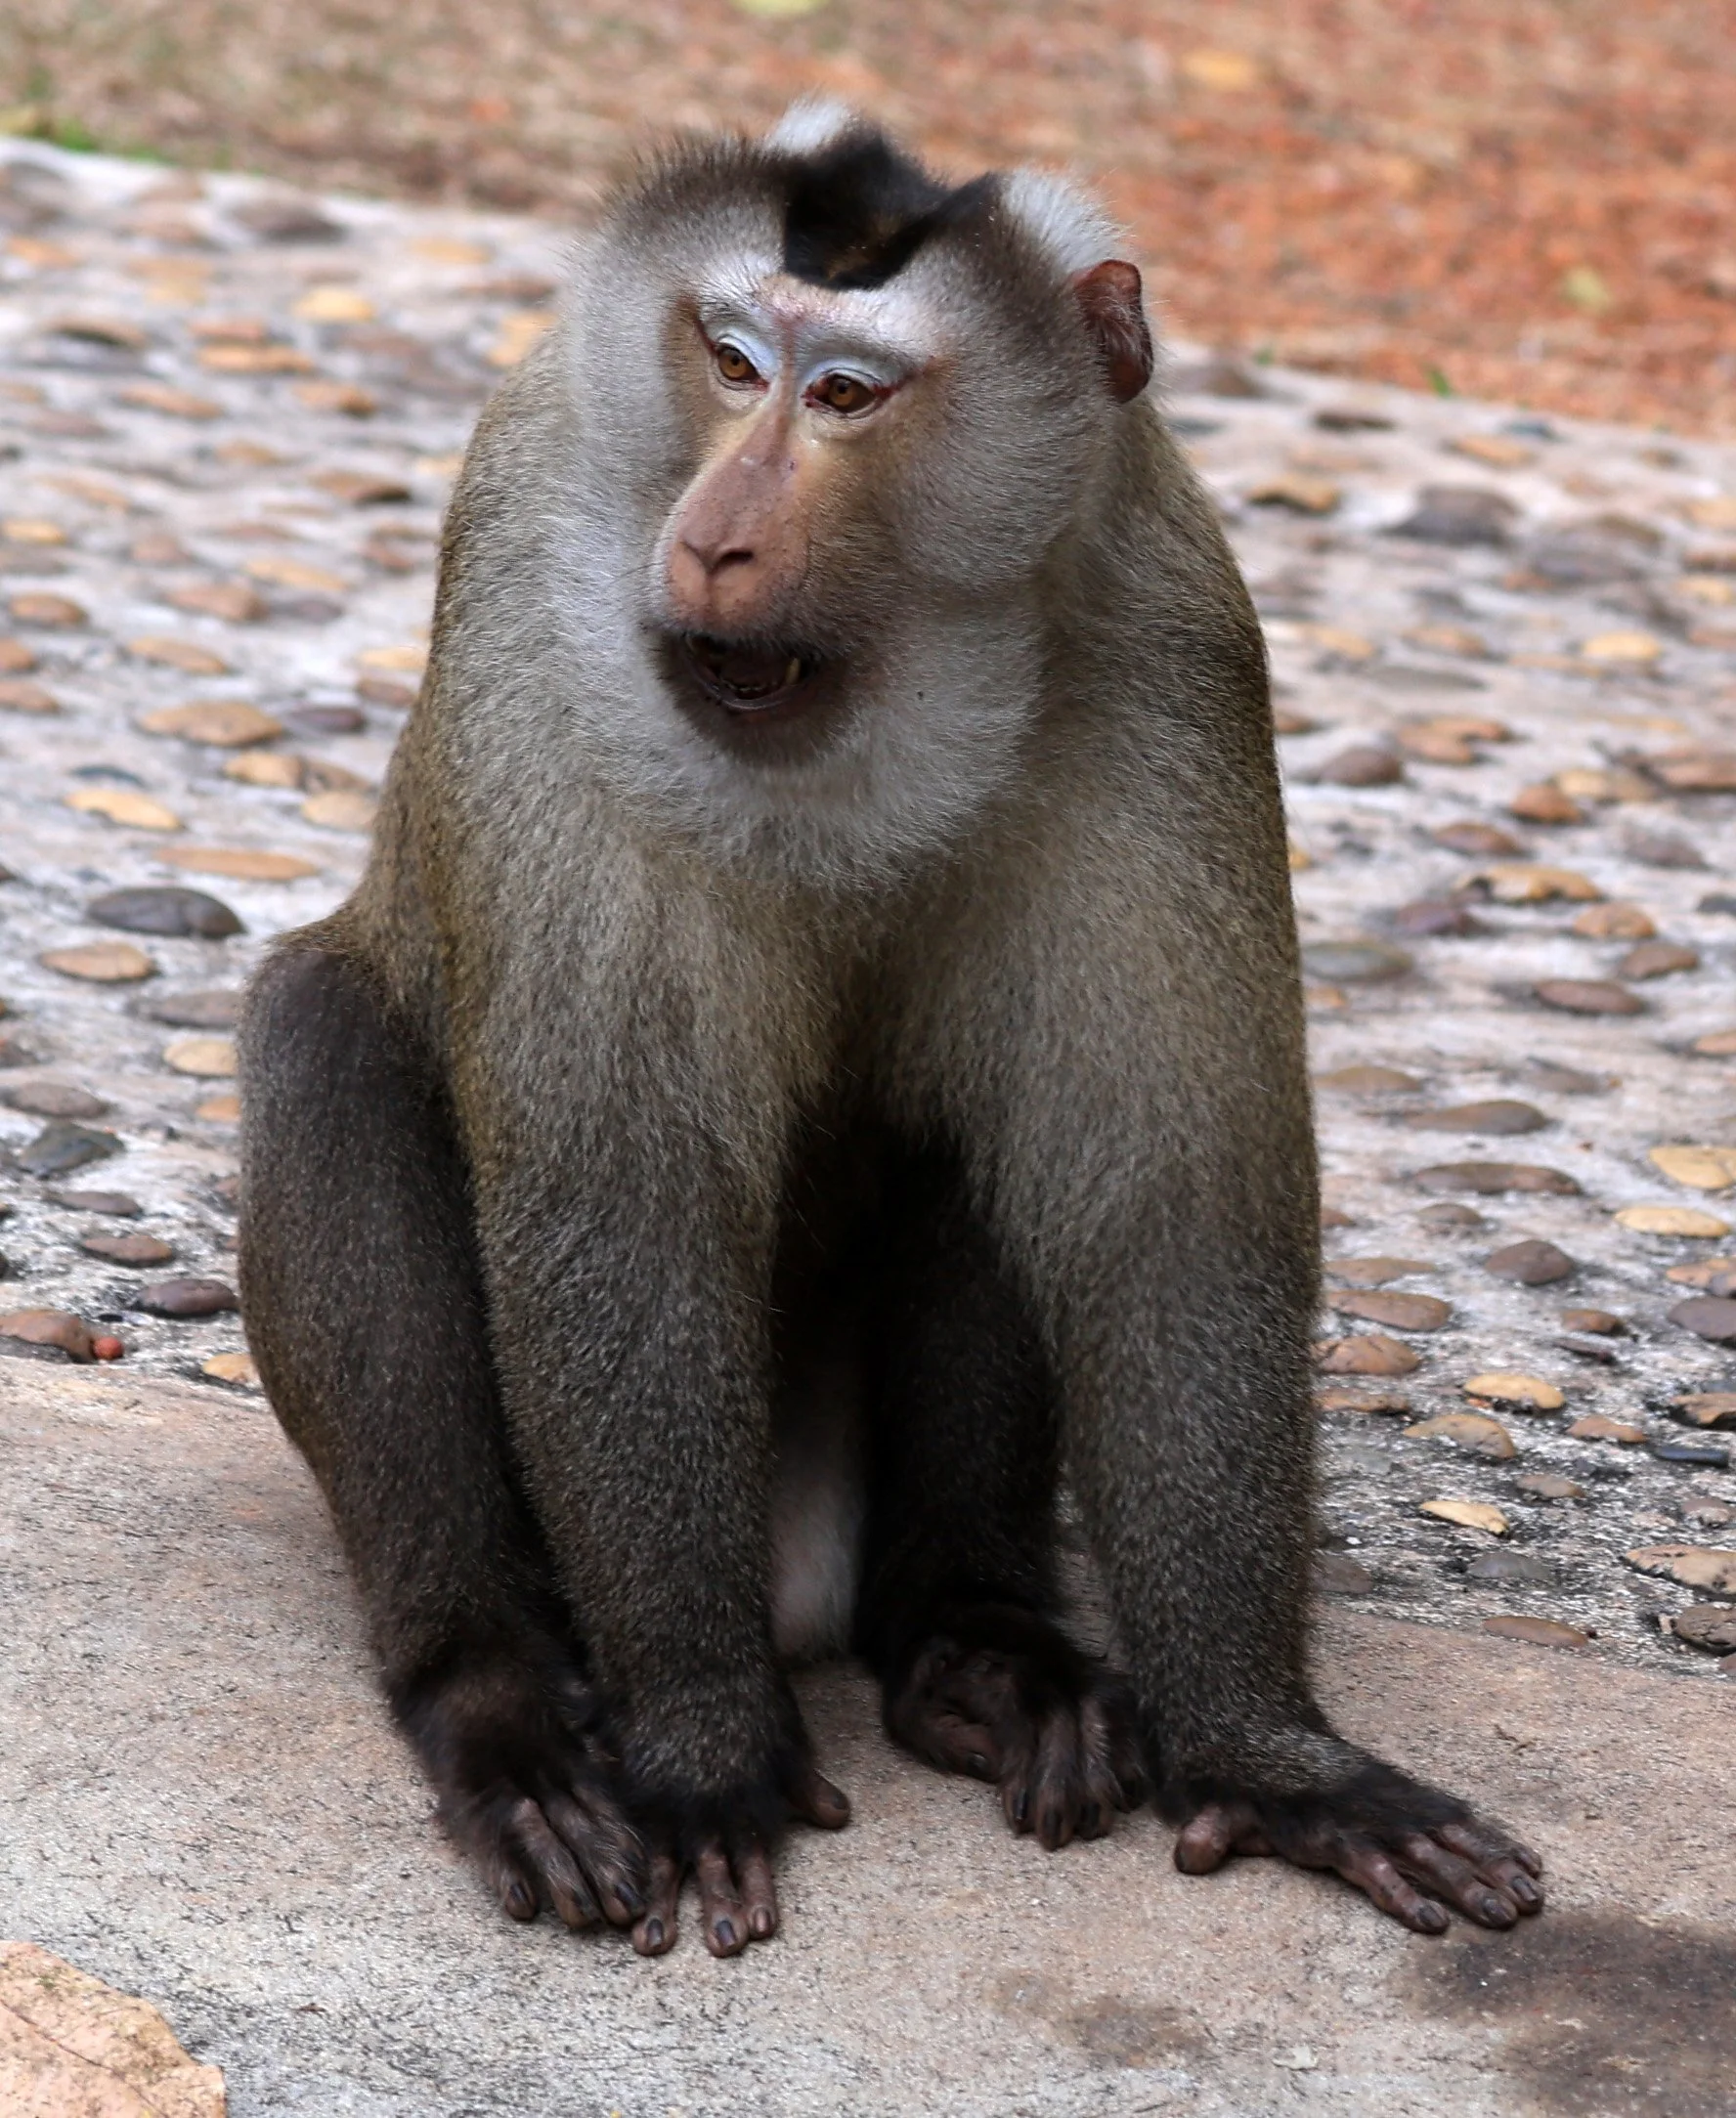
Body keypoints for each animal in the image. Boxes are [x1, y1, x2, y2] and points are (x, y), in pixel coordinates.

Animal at [238, 103, 1544, 1959]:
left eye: (848, 394)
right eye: (730, 361)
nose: (714, 536)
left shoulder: (1167, 634)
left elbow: (1173, 1217)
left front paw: (1269, 1752)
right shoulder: (542, 581)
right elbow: (615, 1196)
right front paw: (704, 1743)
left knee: (983, 1126)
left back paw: (975, 1639)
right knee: (326, 1038)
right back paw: (490, 1693)